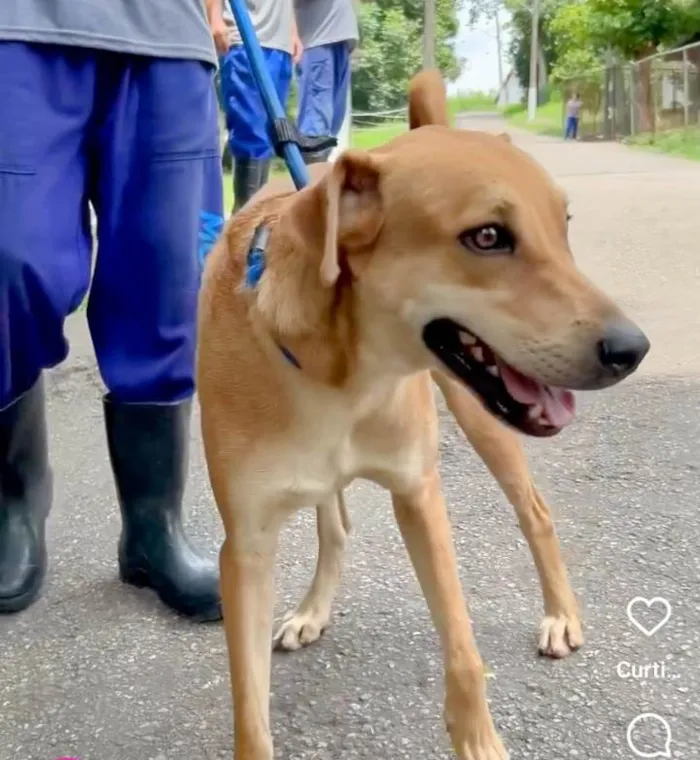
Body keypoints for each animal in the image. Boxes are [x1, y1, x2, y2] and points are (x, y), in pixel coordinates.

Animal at [194, 71, 648, 760]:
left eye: (564, 227)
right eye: (487, 237)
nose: (632, 350)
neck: (341, 375)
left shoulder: (418, 494)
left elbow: (462, 650)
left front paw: (479, 740)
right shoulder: (245, 548)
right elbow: (251, 712)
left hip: (482, 419)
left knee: (536, 513)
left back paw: (562, 614)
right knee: (337, 523)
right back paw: (313, 609)